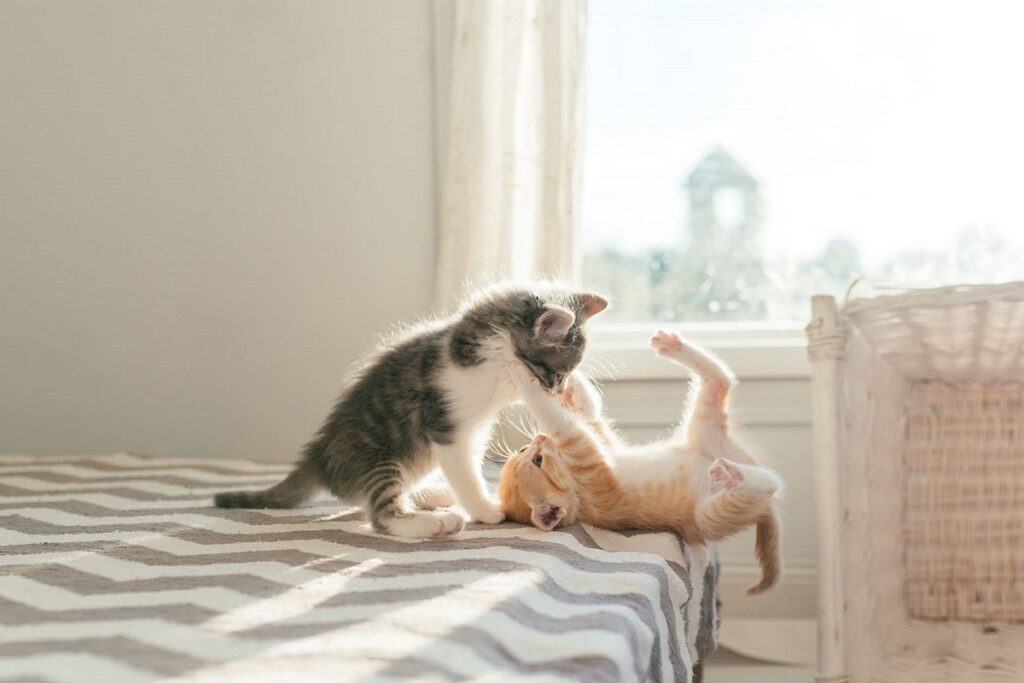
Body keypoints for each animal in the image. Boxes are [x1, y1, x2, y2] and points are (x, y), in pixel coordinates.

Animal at [211, 282, 602, 540]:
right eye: (554, 372)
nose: (557, 388)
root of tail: (319, 454)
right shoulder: (447, 425)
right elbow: (465, 472)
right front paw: (484, 509)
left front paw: (585, 395)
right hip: (374, 457)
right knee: (380, 514)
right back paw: (431, 522)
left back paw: (434, 495)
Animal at [499, 329, 778, 593]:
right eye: (537, 460)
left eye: (525, 450)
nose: (539, 438)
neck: (576, 490)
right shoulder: (585, 457)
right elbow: (557, 418)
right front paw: (521, 376)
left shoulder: (601, 442)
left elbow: (586, 410)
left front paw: (559, 370)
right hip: (709, 515)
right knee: (771, 485)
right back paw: (735, 476)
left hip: (704, 429)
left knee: (720, 381)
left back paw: (673, 346)